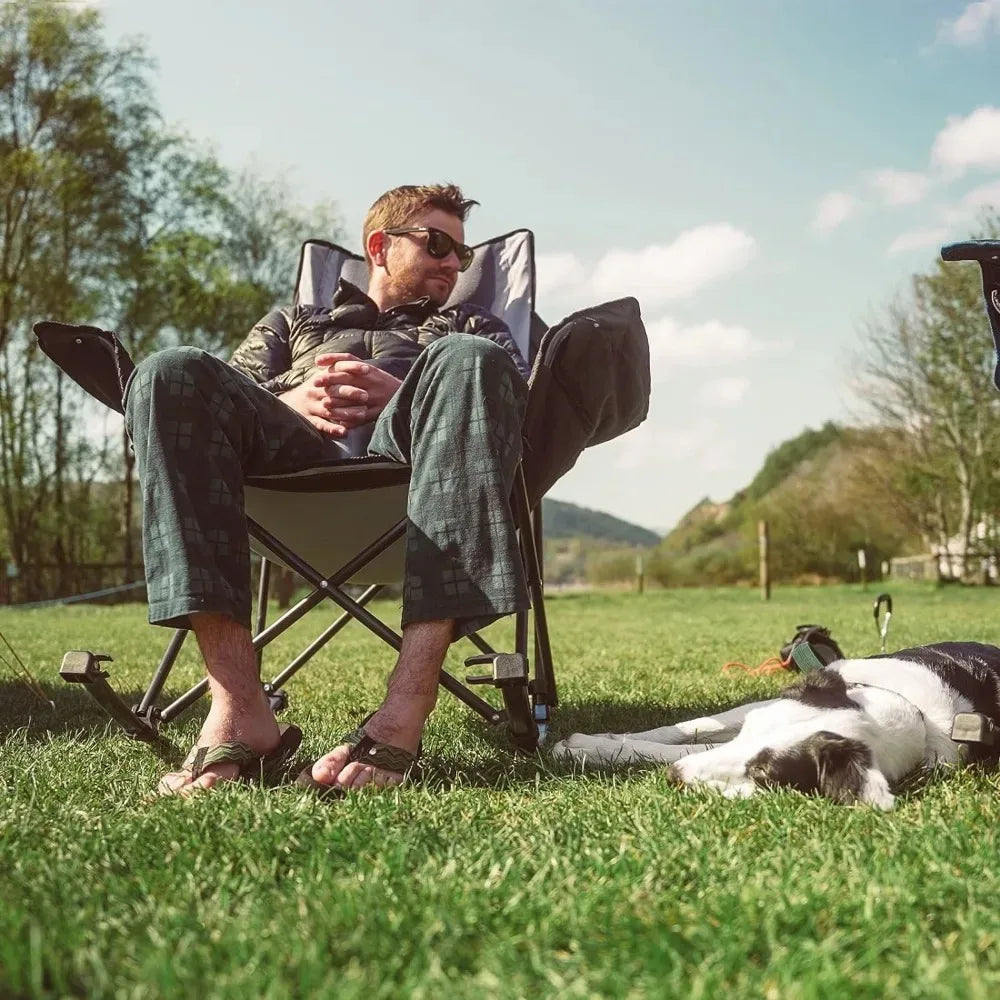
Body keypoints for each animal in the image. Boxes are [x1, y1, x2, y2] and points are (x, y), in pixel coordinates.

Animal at [552, 640, 1000, 812]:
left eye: (765, 775)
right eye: (751, 727)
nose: (674, 778)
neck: (917, 715)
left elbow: (690, 749)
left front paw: (585, 749)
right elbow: (684, 729)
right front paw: (592, 743)